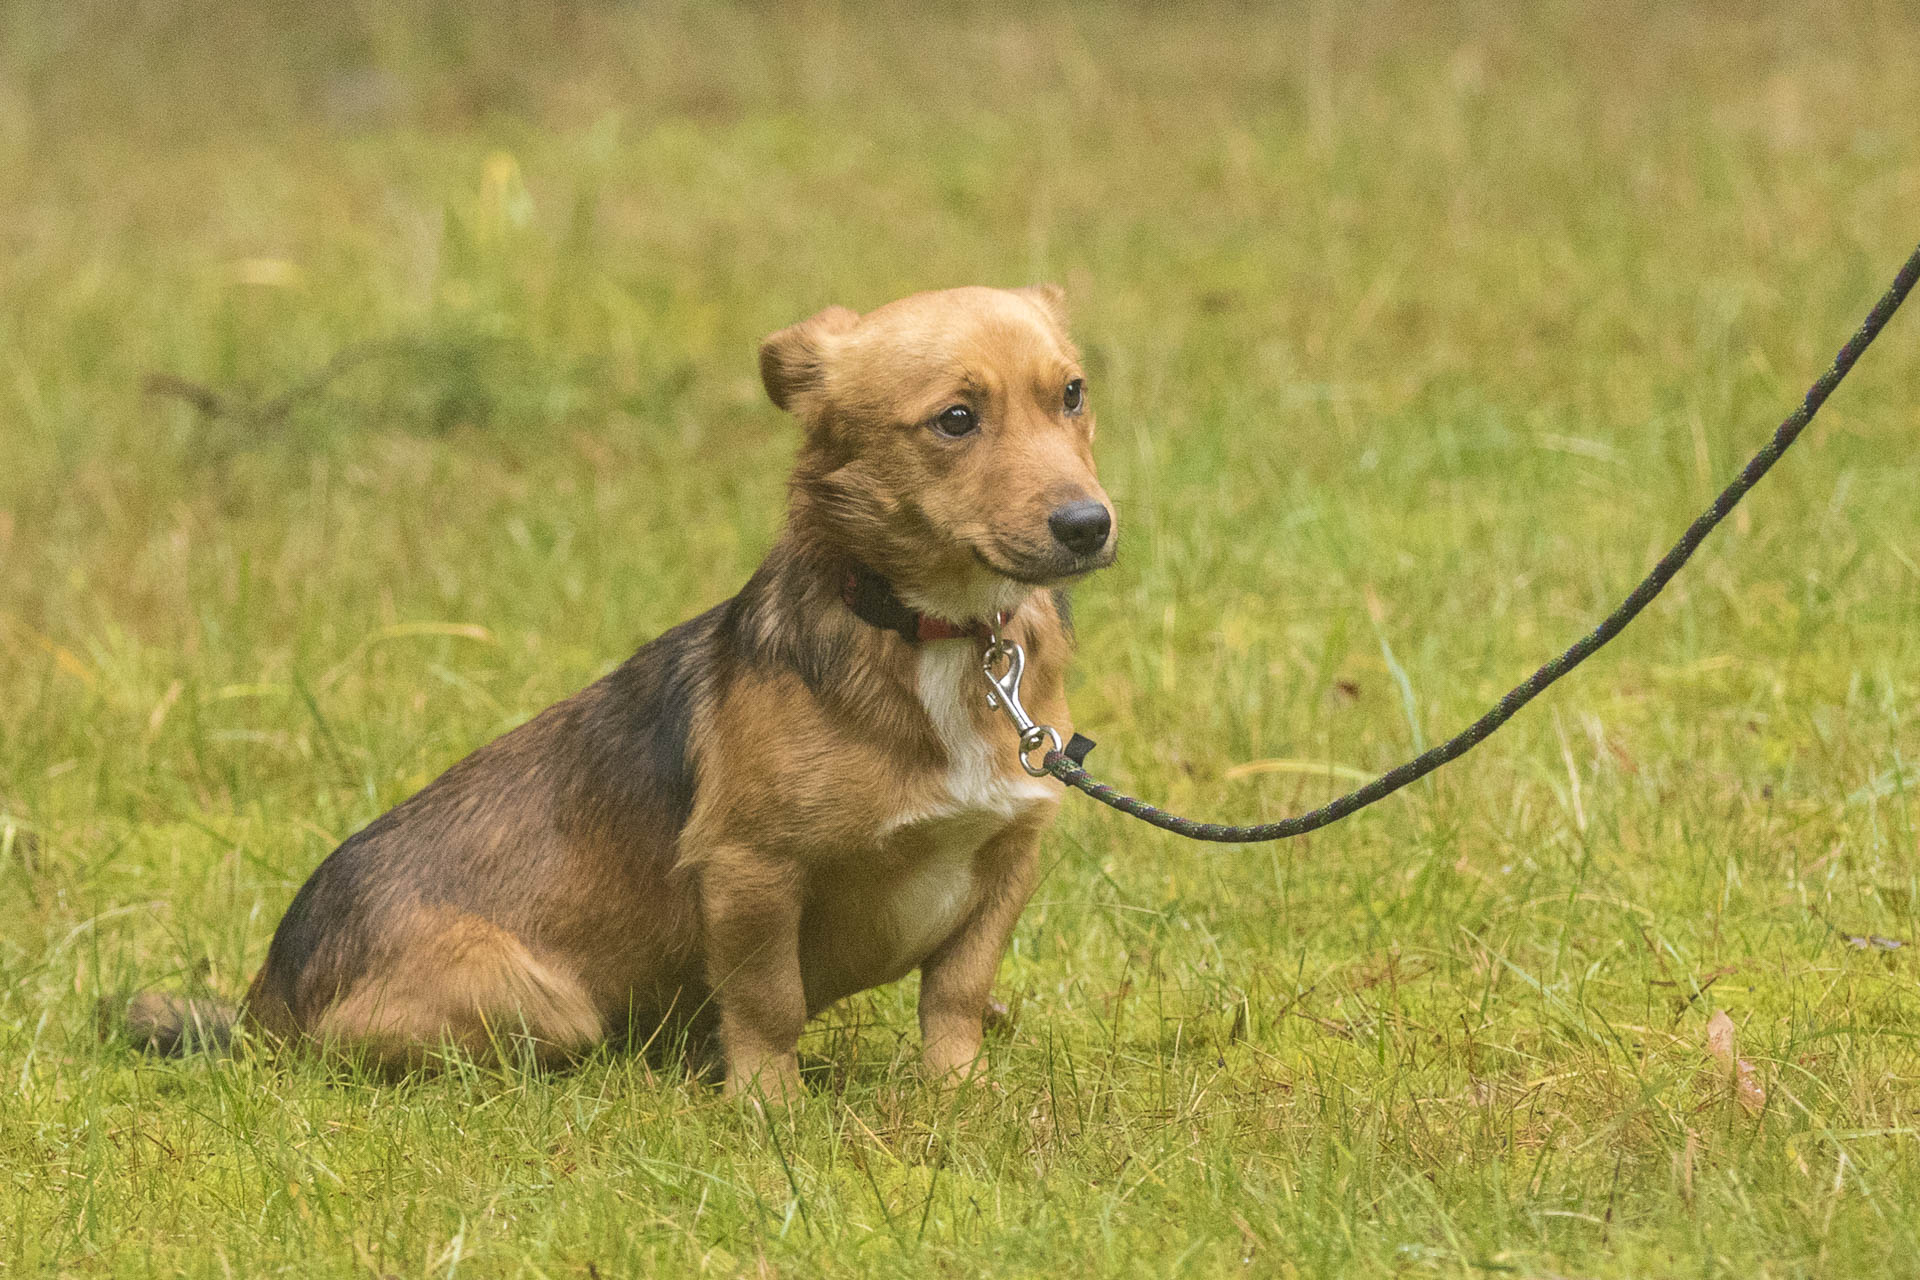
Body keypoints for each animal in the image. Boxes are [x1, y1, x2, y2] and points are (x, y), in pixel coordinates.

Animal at [124, 284, 1115, 1098]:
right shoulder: (750, 871)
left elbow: (956, 997)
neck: (943, 637)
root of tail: (265, 1006)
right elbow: (769, 1005)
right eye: (956, 419)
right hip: (542, 1001)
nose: (1089, 526)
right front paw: (772, 1113)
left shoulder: (1006, 861)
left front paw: (960, 1100)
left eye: (1072, 394)